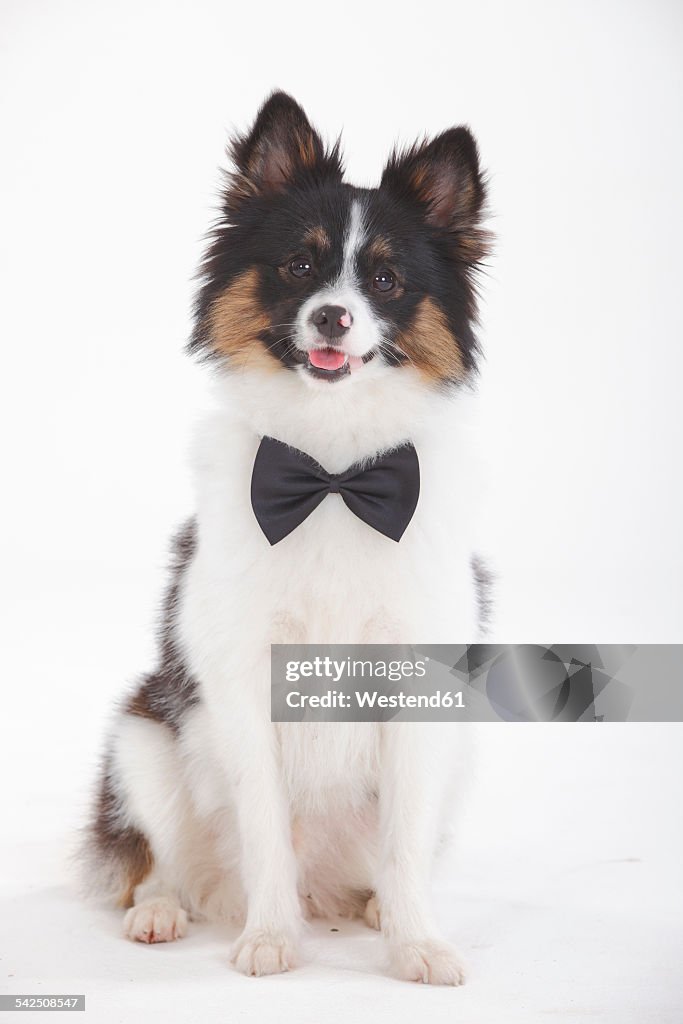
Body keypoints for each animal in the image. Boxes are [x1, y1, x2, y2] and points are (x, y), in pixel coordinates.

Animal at [83, 94, 491, 983]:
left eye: (385, 280)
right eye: (300, 267)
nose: (332, 315)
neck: (332, 472)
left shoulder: (419, 687)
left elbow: (403, 843)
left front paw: (416, 943)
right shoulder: (239, 681)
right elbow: (263, 828)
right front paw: (269, 937)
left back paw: (373, 909)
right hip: (143, 738)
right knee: (161, 861)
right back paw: (163, 911)